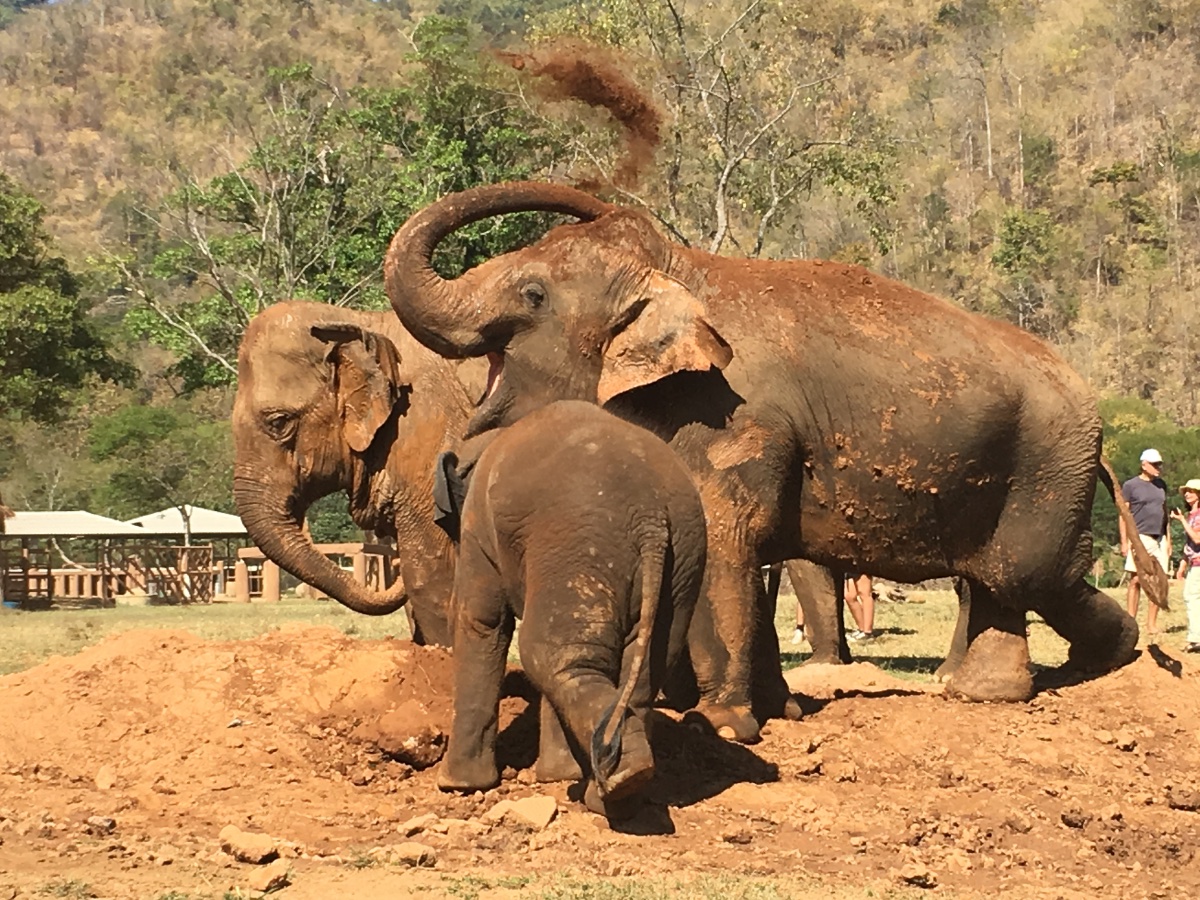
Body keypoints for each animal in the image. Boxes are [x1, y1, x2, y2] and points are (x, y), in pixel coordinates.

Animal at [380, 181, 1140, 740]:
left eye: (532, 295)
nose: (454, 465)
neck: (681, 271)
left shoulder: (737, 418)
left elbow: (727, 541)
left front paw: (723, 720)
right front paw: (781, 709)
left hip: (1049, 466)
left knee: (1032, 574)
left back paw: (1110, 657)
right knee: (998, 584)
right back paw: (982, 691)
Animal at [438, 400, 705, 816]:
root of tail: (650, 517)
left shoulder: (478, 527)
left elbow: (481, 620)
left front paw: (456, 786)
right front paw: (558, 776)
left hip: (581, 547)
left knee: (549, 654)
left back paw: (618, 782)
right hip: (682, 565)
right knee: (638, 671)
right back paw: (620, 787)